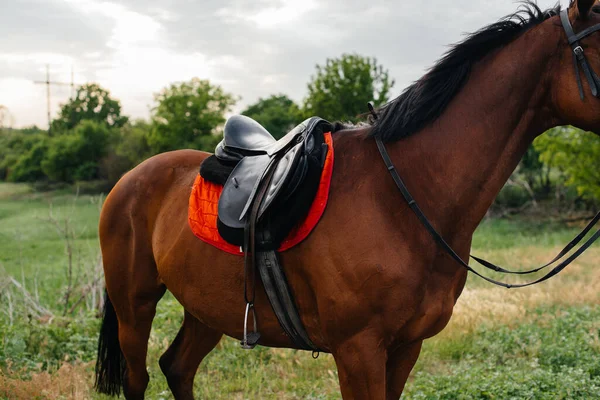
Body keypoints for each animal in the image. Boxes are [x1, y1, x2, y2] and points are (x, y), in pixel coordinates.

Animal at [94, 1, 600, 398]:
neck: (402, 198)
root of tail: (129, 179)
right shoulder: (358, 350)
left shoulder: (405, 348)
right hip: (134, 306)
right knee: (139, 379)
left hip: (207, 308)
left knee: (177, 368)